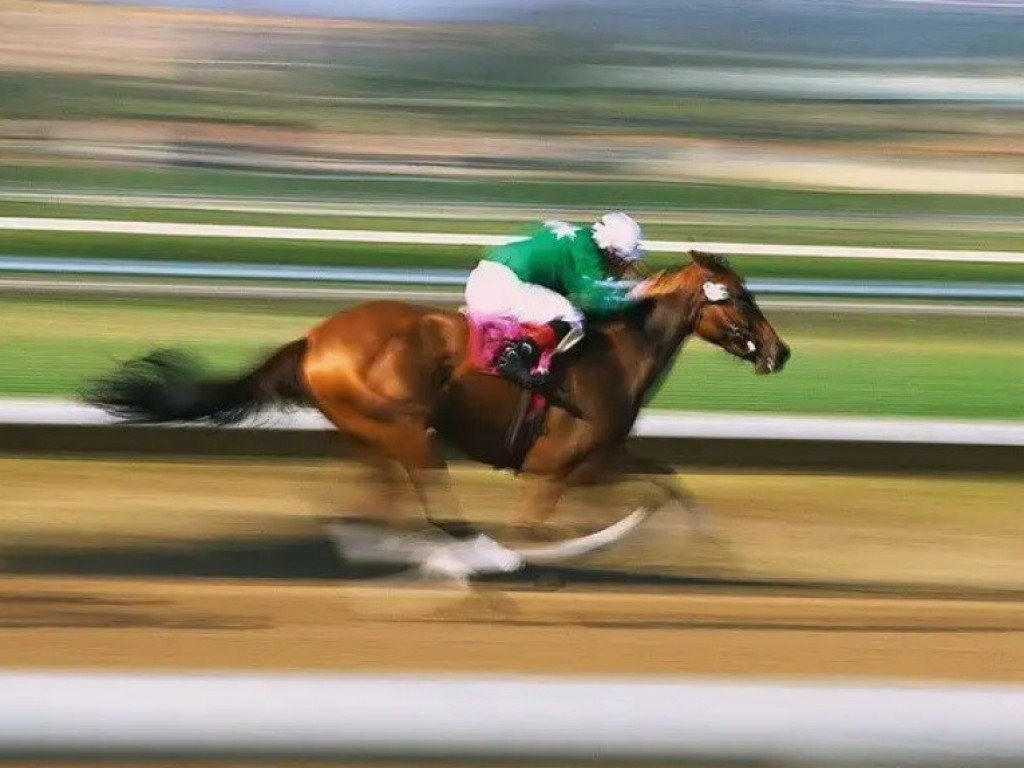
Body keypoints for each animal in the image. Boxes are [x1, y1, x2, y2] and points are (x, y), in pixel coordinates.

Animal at [86, 252, 790, 581]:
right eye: (742, 298)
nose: (780, 352)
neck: (615, 354)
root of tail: (314, 338)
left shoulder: (605, 457)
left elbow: (673, 481)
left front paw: (716, 549)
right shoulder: (565, 467)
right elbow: (548, 524)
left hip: (372, 435)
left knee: (361, 501)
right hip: (406, 431)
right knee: (436, 511)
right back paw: (469, 559)